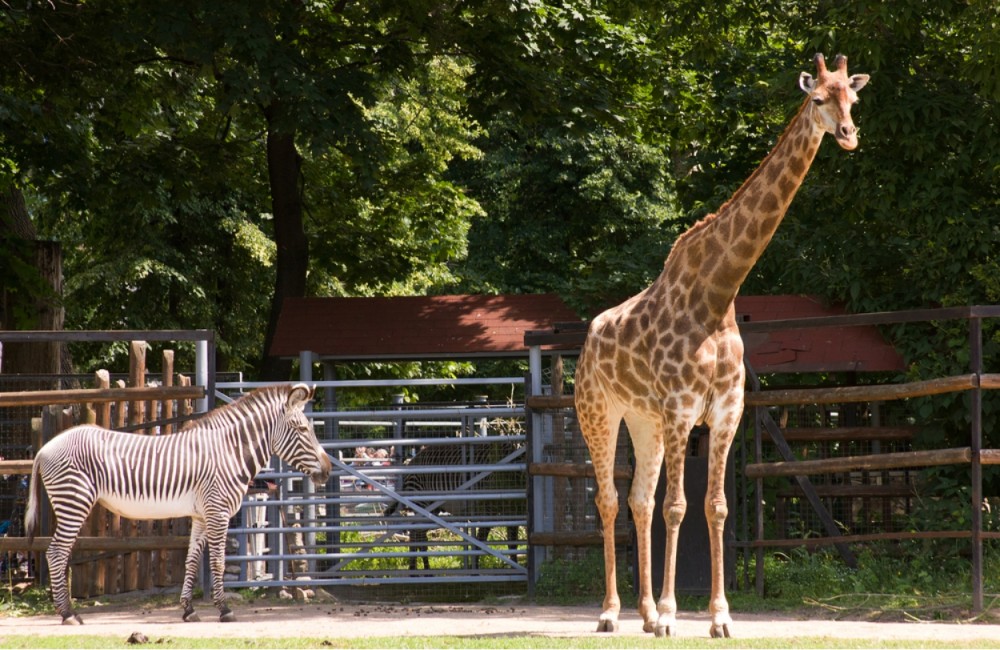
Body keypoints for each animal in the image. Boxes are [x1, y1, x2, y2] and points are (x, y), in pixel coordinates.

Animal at [24, 380, 332, 624]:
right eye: (302, 430)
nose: (328, 471)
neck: (228, 451)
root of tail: (44, 448)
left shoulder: (201, 515)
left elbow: (192, 561)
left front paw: (188, 609)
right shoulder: (218, 512)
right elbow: (217, 562)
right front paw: (224, 610)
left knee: (58, 553)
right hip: (74, 500)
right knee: (56, 553)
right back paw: (68, 614)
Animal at [382, 438, 524, 568]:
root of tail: (412, 461)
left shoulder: (514, 513)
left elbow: (513, 544)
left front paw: (514, 568)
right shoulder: (489, 511)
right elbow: (481, 543)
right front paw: (476, 570)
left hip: (432, 510)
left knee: (415, 534)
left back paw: (416, 571)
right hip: (423, 504)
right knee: (419, 536)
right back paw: (423, 571)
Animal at [576, 53, 872, 636]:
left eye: (852, 99)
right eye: (817, 99)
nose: (849, 135)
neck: (718, 292)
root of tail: (587, 340)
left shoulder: (727, 410)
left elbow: (714, 507)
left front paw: (718, 616)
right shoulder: (681, 408)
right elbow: (678, 505)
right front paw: (674, 615)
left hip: (642, 420)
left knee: (638, 501)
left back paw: (643, 612)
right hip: (599, 412)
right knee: (609, 499)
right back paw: (611, 613)